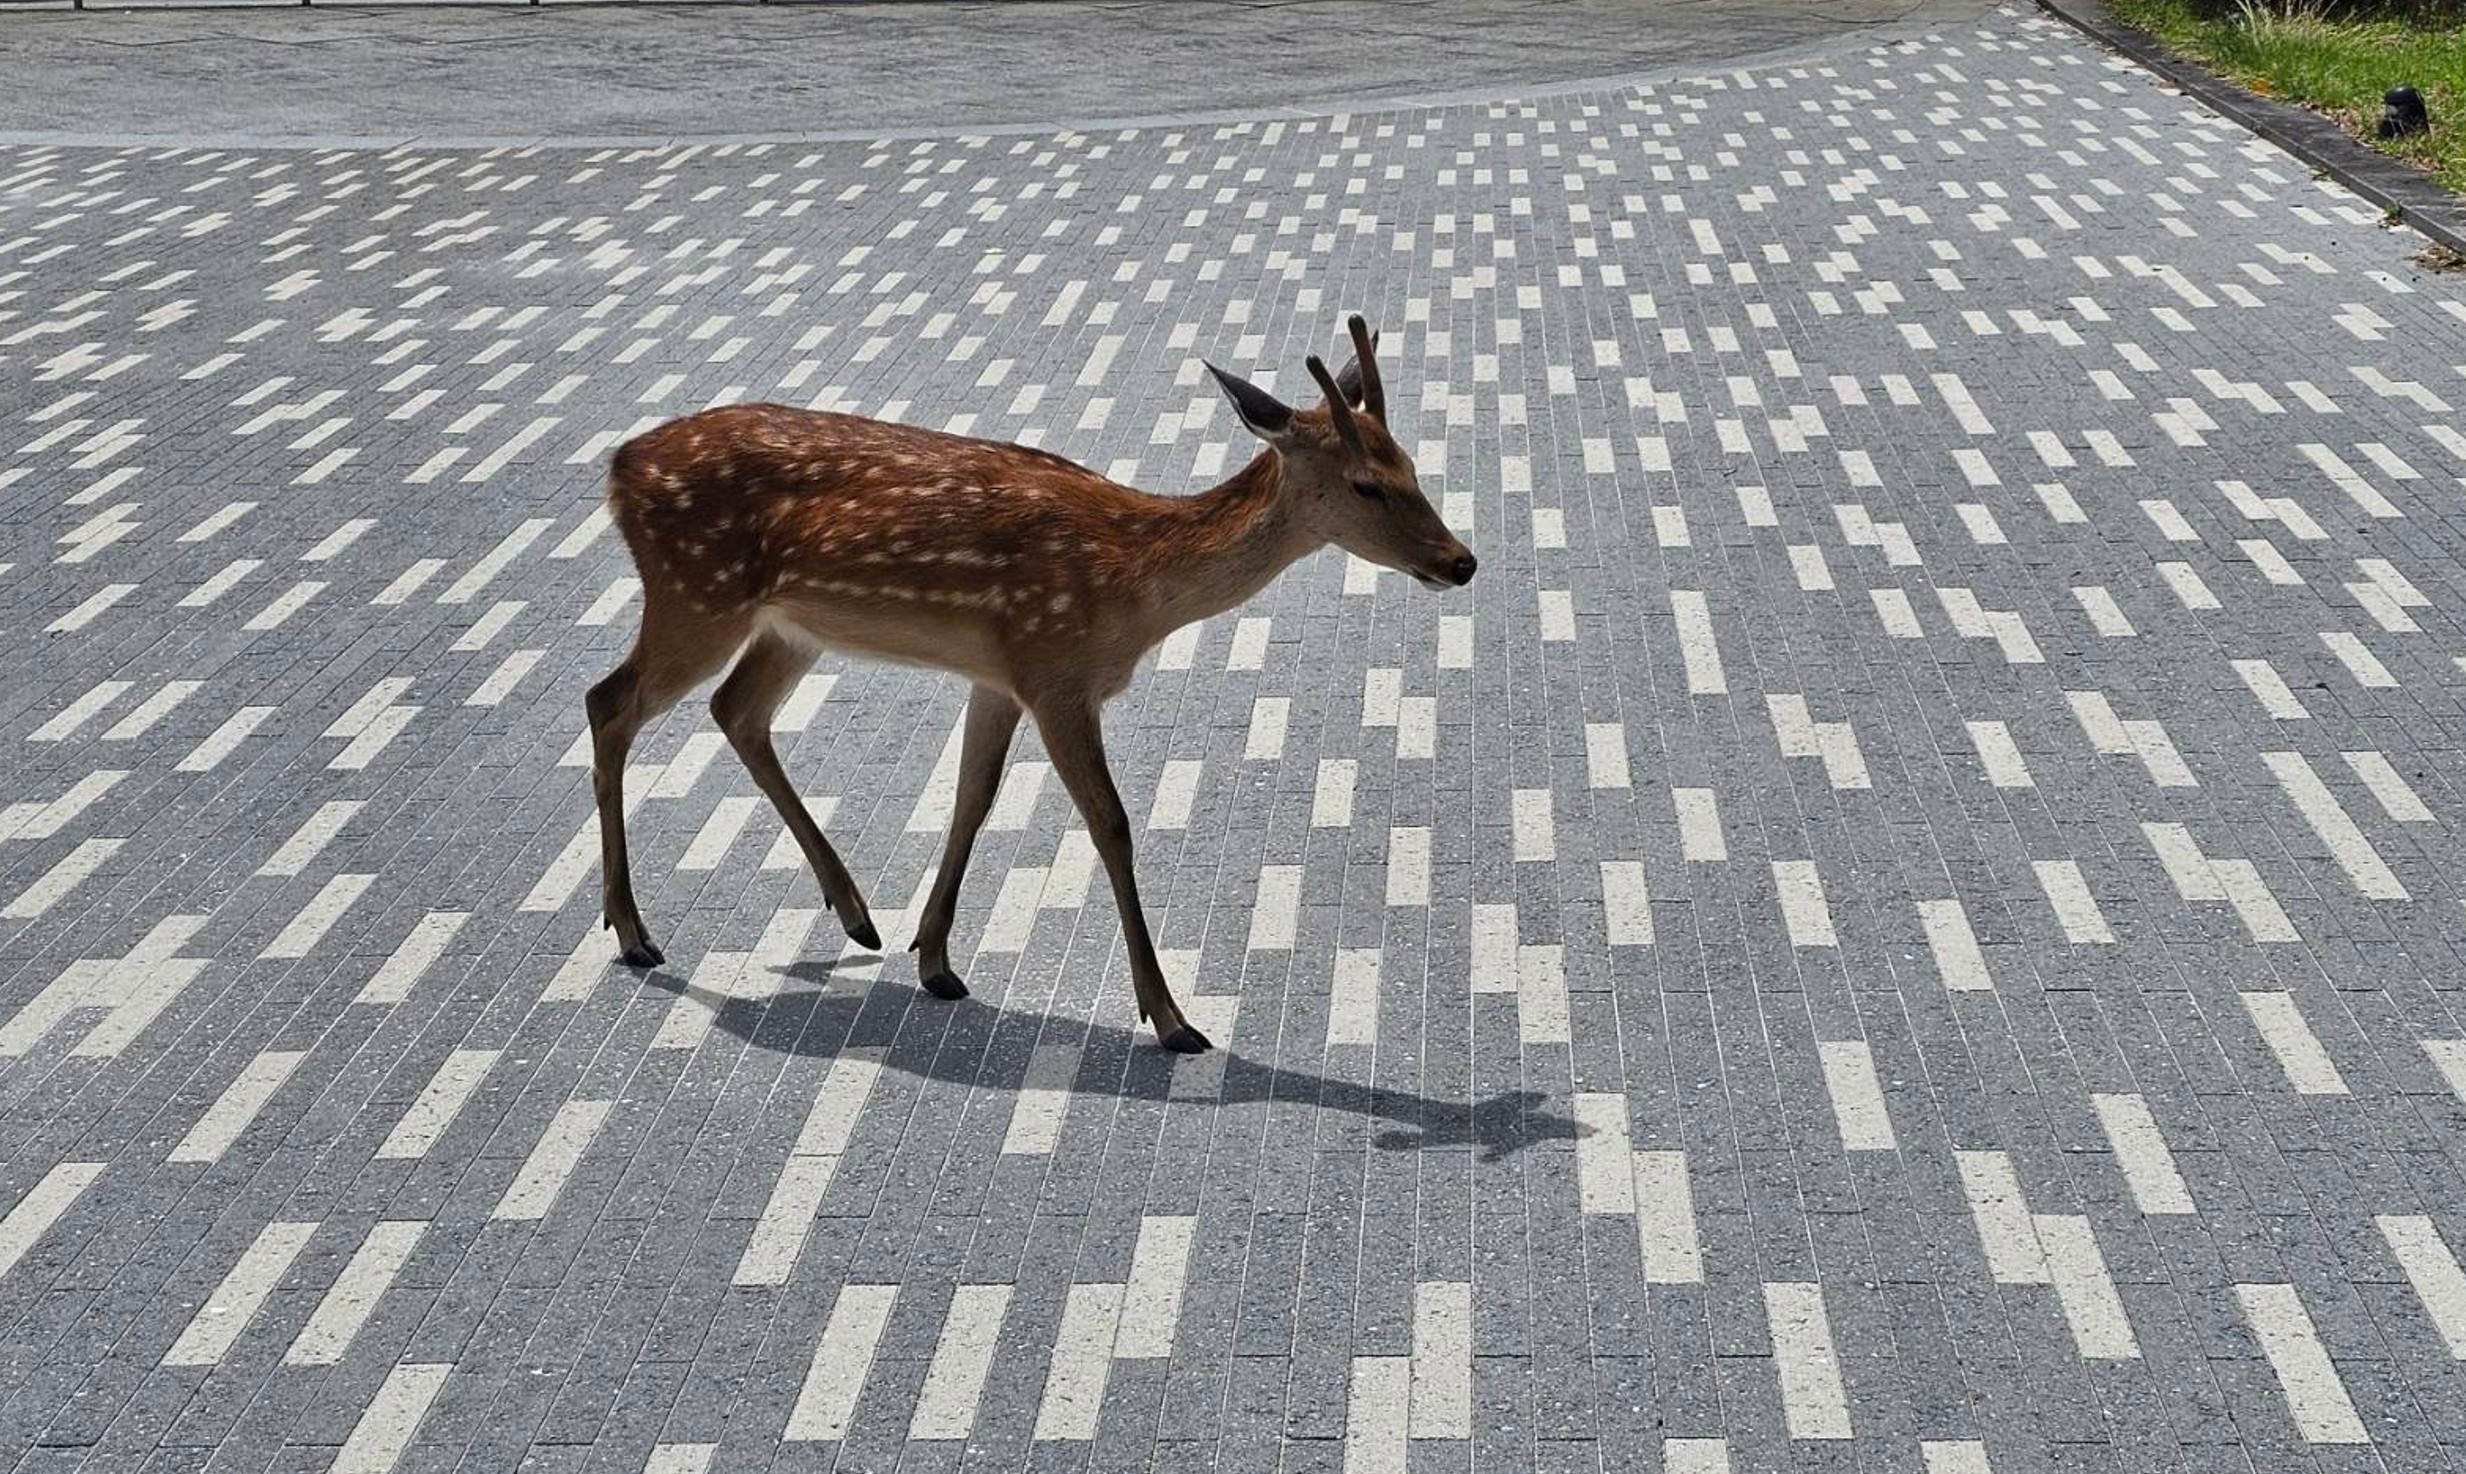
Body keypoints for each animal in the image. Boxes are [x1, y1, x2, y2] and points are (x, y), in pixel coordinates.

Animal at [584, 315, 1475, 1053]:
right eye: (1366, 484)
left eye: (1411, 463)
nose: (1460, 560)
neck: (1132, 587)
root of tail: (618, 466)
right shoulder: (1056, 670)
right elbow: (1110, 824)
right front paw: (1171, 1017)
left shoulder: (1002, 674)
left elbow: (972, 796)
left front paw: (935, 958)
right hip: (697, 592)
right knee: (610, 701)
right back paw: (632, 931)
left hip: (787, 625)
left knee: (735, 709)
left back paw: (856, 913)